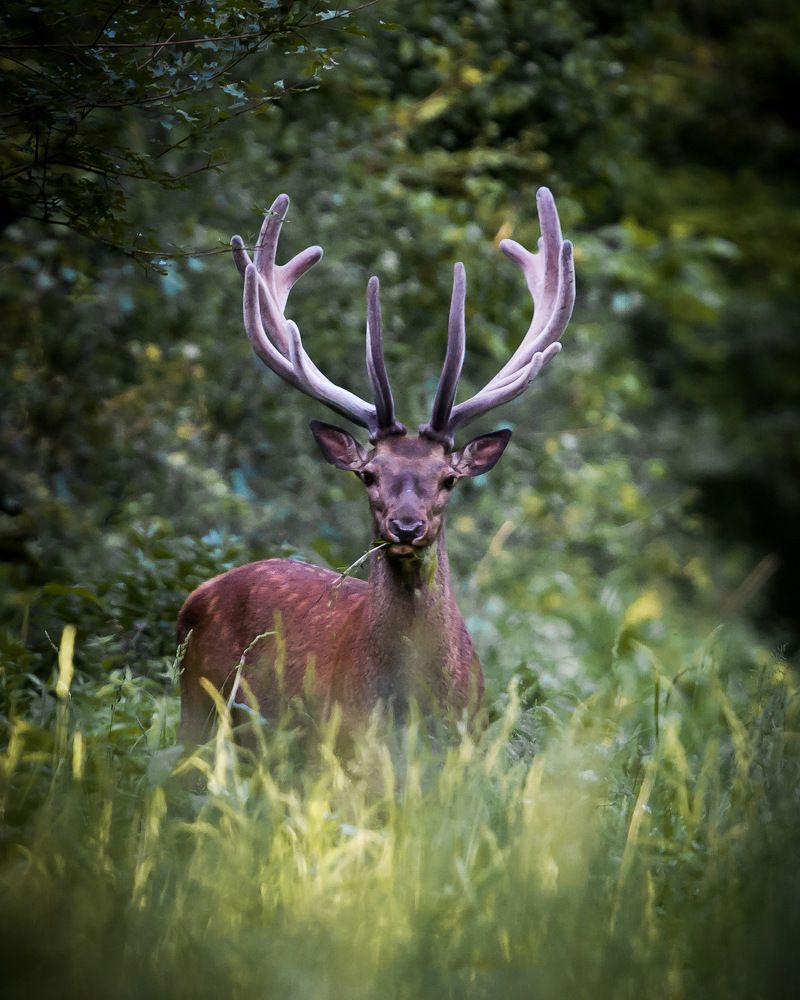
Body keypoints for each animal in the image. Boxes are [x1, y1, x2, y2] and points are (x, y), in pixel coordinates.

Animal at [177, 188, 575, 745]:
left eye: (449, 478)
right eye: (368, 474)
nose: (406, 527)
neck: (412, 706)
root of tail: (197, 594)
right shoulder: (341, 743)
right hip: (195, 707)